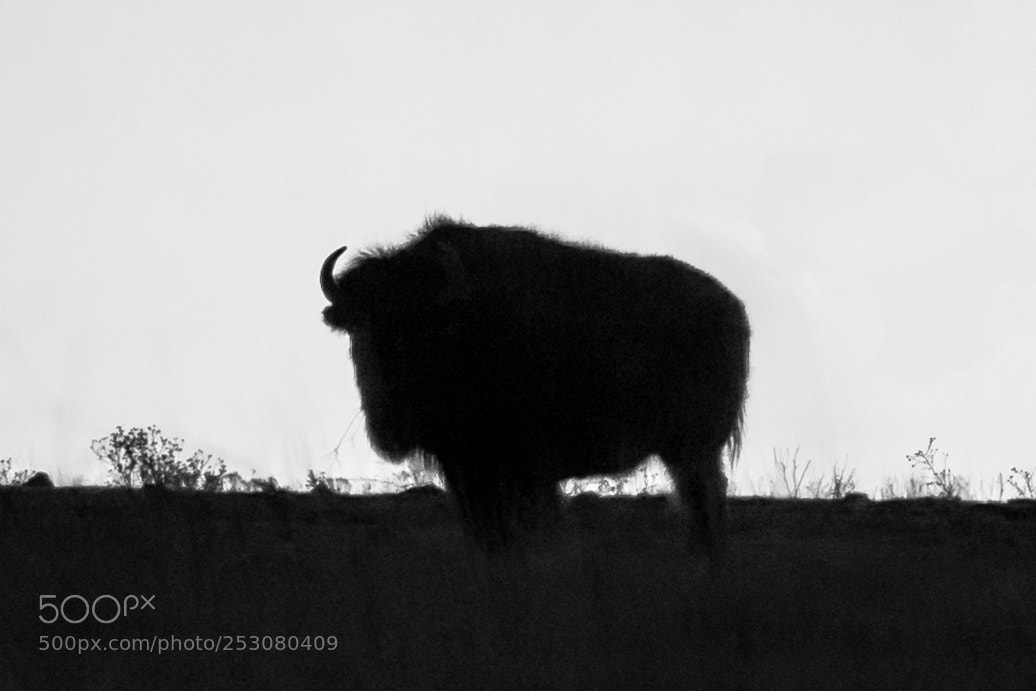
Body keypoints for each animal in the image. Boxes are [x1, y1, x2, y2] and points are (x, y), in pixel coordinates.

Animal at [321, 216, 750, 555]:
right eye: (358, 332)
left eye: (420, 329)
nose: (388, 428)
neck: (466, 321)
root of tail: (733, 308)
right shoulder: (467, 469)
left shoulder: (526, 467)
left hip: (694, 450)